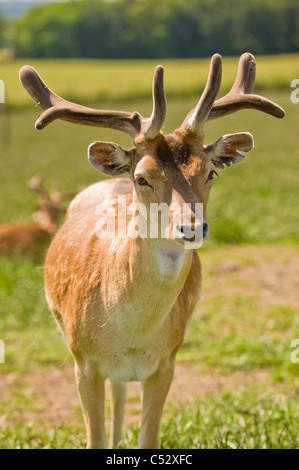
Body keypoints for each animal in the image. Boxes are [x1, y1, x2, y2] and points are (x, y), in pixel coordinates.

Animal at [19, 53, 284, 450]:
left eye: (210, 173)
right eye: (142, 177)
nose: (192, 227)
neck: (132, 337)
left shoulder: (166, 362)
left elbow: (149, 438)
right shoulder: (83, 362)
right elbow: (94, 440)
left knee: (119, 393)